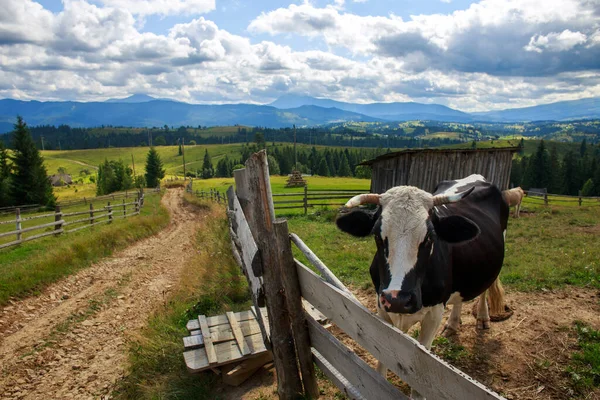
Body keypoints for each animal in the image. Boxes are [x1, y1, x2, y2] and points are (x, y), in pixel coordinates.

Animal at [336, 175, 508, 400]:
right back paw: (453, 324)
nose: (398, 299)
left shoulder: (434, 314)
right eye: (377, 236)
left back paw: (482, 317)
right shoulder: (381, 307)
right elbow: (382, 361)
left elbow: (420, 376)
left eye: (429, 237)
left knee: (485, 288)